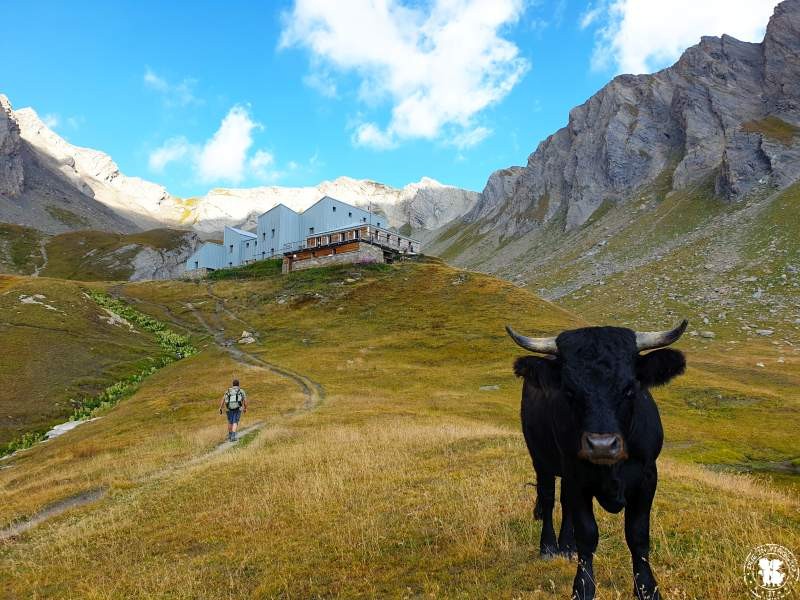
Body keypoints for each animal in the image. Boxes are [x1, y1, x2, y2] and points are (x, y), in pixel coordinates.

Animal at [506, 322, 688, 600]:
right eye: (569, 391)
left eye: (630, 388)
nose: (602, 445)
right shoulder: (576, 474)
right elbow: (587, 534)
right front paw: (583, 586)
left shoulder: (647, 477)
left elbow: (637, 535)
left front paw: (647, 588)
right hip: (540, 458)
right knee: (548, 498)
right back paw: (549, 547)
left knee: (565, 504)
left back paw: (566, 546)